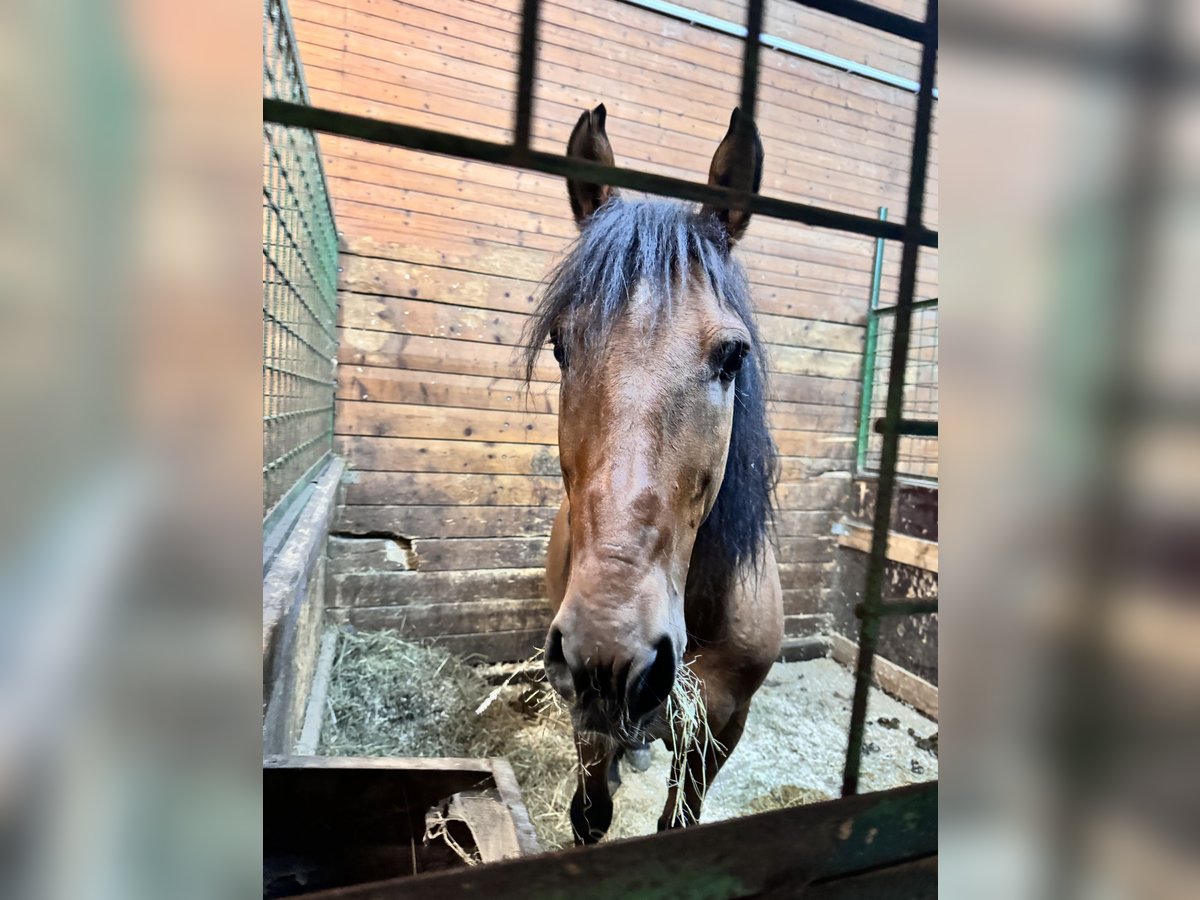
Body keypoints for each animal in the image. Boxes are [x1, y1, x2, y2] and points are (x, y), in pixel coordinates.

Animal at [520, 103, 782, 844]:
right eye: (562, 345)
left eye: (732, 356)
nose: (610, 651)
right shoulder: (586, 715)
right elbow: (589, 816)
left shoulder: (717, 731)